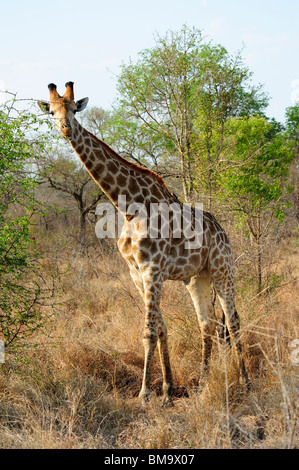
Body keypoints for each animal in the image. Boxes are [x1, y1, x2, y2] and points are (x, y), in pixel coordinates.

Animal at [39, 81, 251, 404]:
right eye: (52, 111)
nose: (65, 129)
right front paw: (166, 391)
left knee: (233, 321)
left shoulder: (153, 269)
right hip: (197, 278)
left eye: (74, 109)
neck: (129, 207)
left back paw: (246, 383)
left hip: (223, 270)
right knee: (209, 324)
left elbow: (149, 332)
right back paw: (203, 385)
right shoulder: (136, 273)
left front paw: (144, 394)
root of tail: (223, 232)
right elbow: (161, 329)